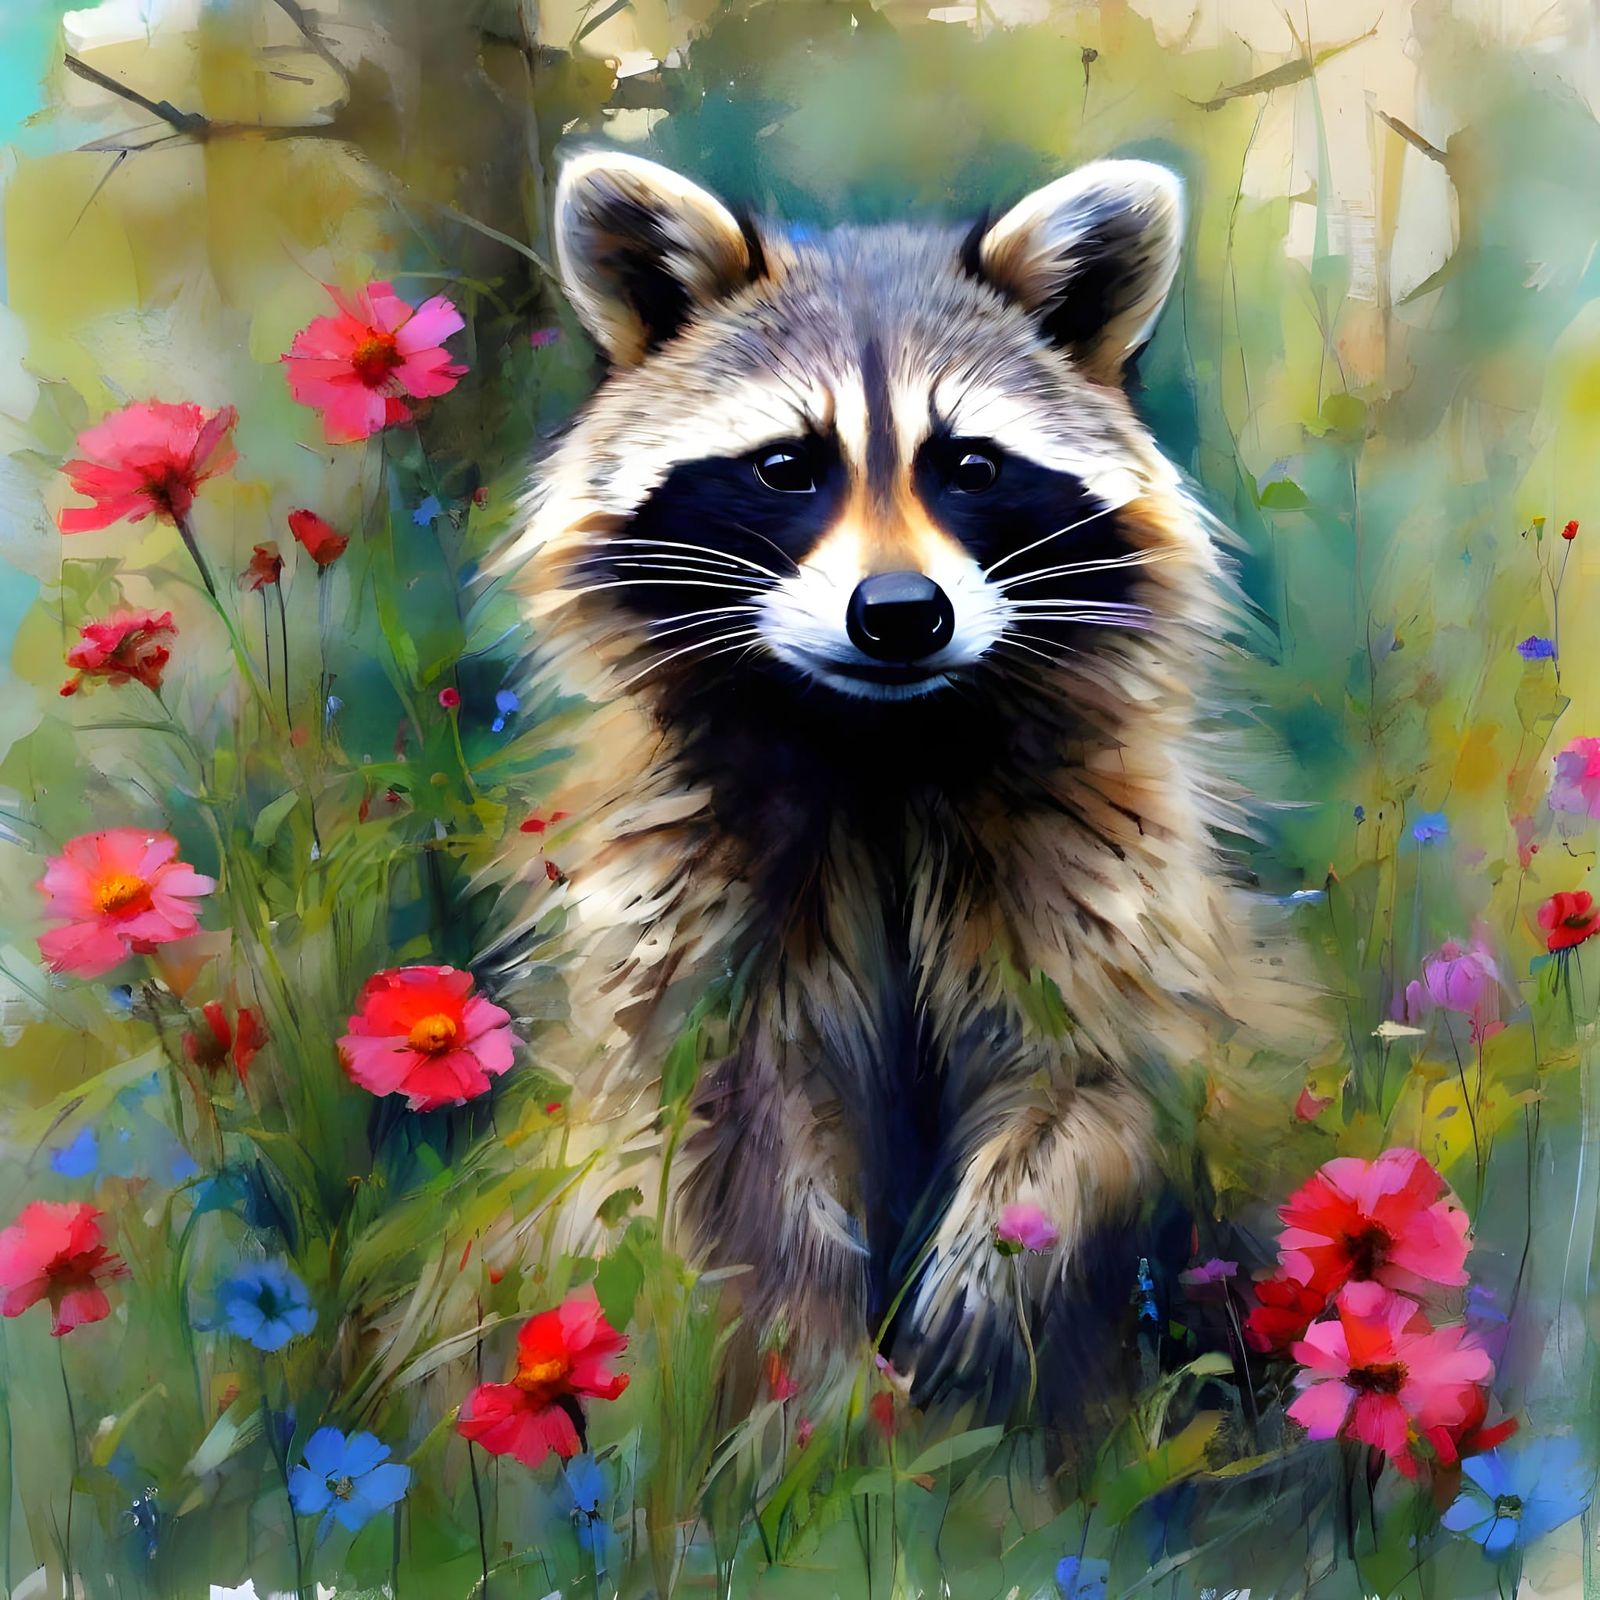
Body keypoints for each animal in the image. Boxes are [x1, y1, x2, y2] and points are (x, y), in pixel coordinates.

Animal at [487, 150, 1274, 1415]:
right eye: (784, 467)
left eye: (970, 466)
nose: (900, 615)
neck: (885, 743)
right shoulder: (698, 898)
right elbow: (735, 1136)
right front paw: (817, 1365)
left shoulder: (1095, 872)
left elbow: (1094, 1080)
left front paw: (1006, 1251)